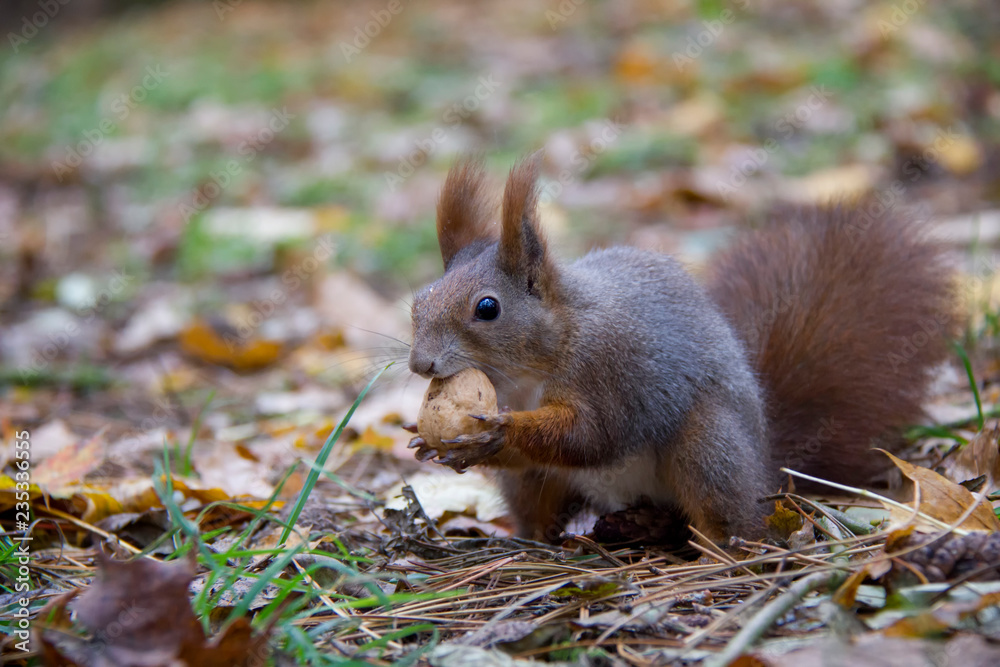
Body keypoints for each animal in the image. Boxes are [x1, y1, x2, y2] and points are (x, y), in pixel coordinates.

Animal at [405, 155, 957, 544]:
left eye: (488, 308)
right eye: (419, 299)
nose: (420, 363)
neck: (531, 366)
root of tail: (767, 464)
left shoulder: (611, 367)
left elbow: (592, 436)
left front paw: (499, 432)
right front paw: (433, 443)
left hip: (707, 445)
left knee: (732, 515)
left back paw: (714, 547)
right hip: (542, 488)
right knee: (536, 498)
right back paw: (541, 537)